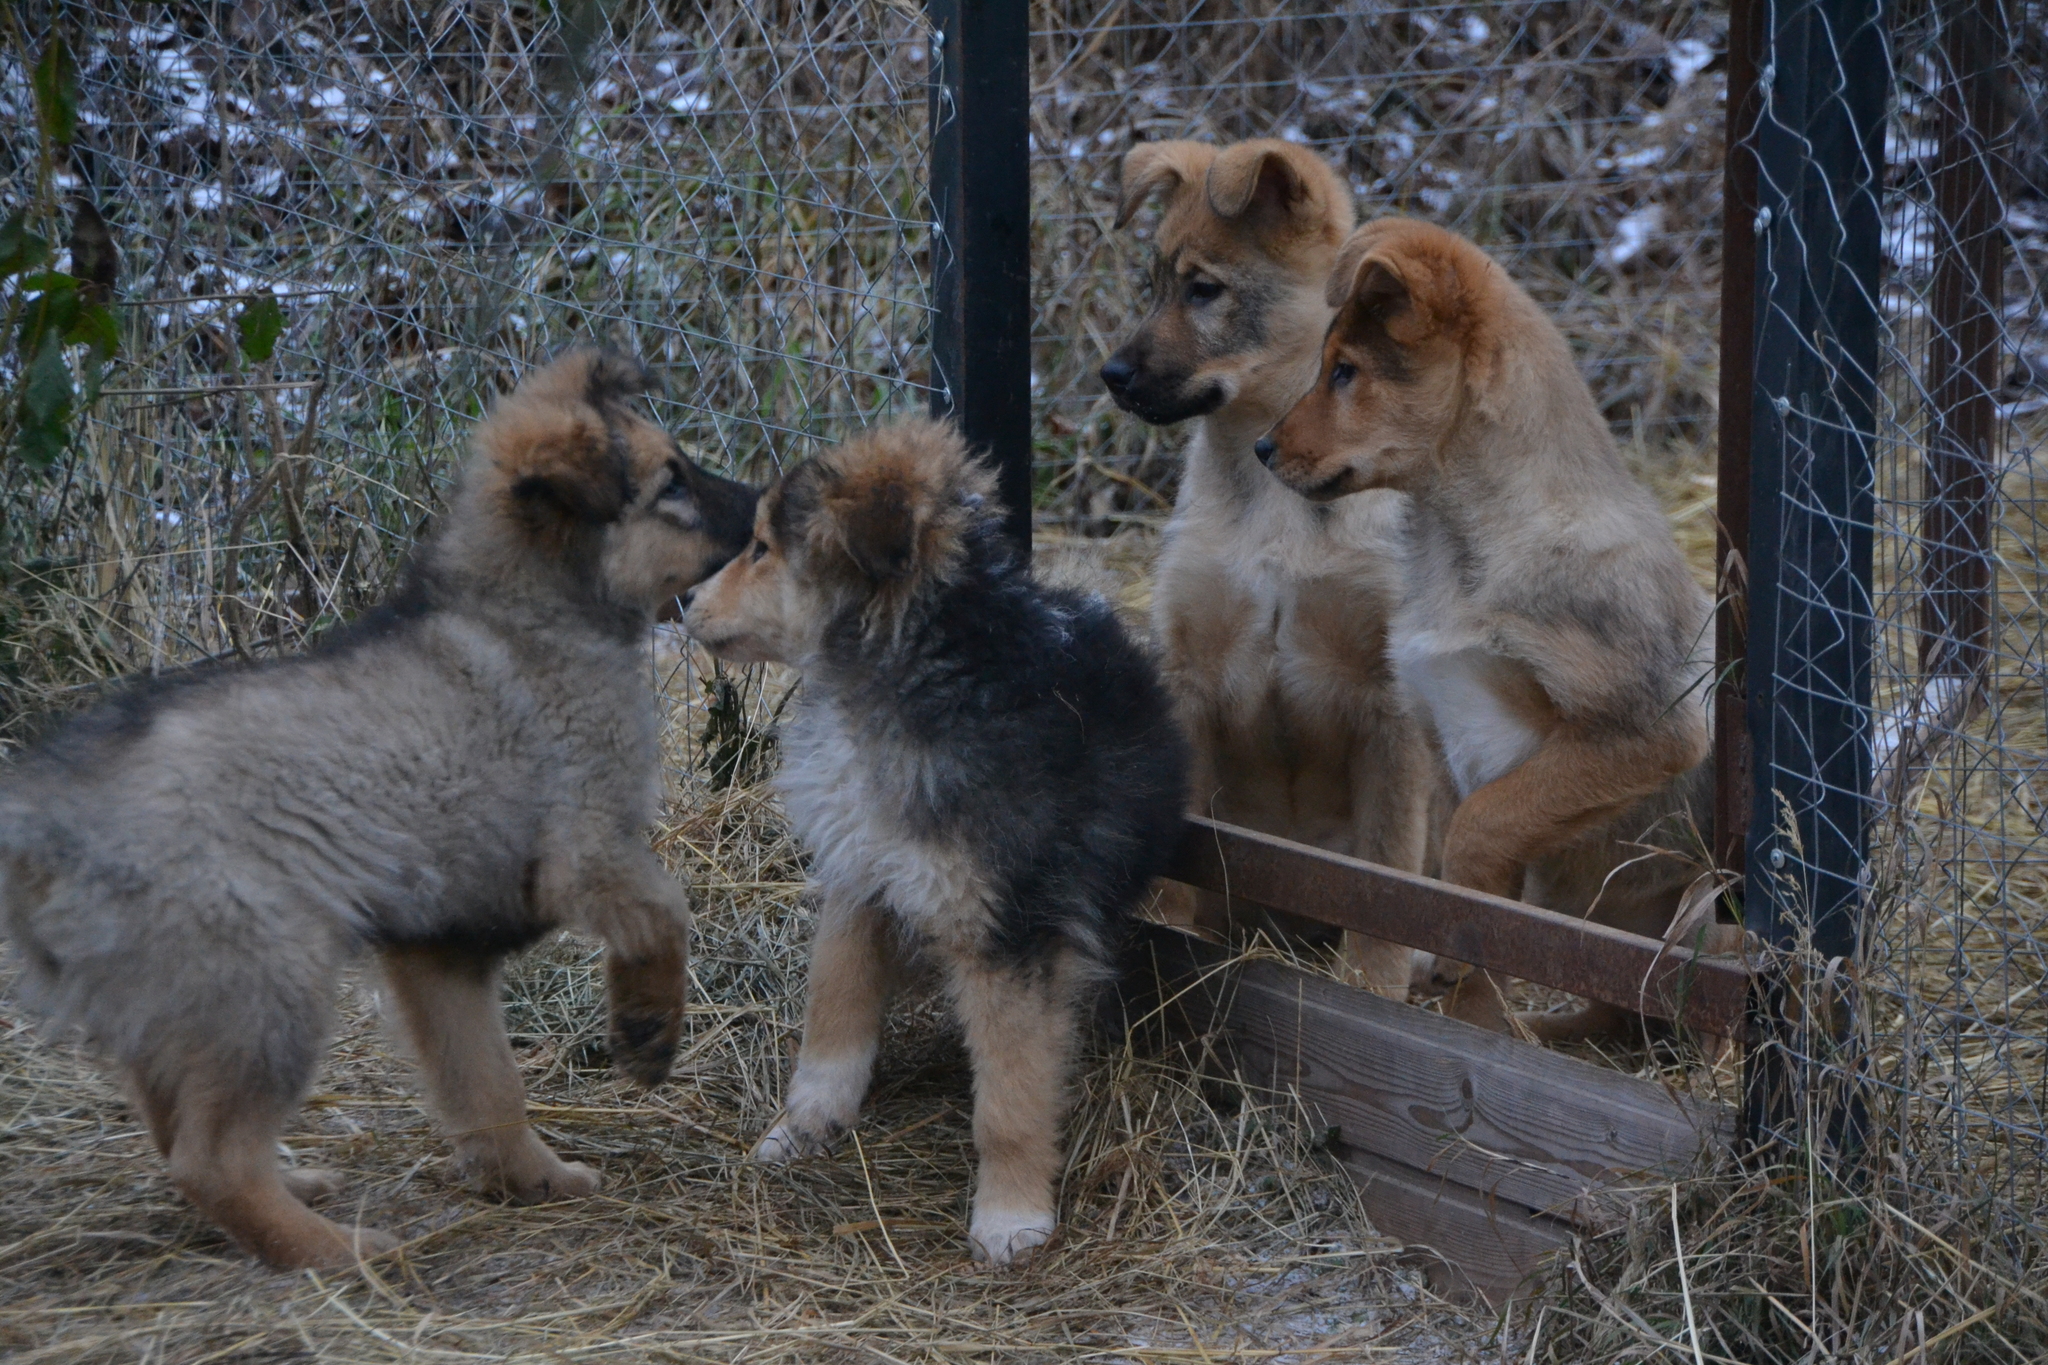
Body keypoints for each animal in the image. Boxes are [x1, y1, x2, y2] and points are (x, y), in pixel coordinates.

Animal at [0, 349, 757, 1268]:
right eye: (671, 484)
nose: (772, 504)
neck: (529, 607)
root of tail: (43, 817)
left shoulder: (439, 948)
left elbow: (486, 1083)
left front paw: (529, 1179)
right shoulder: (589, 845)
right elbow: (664, 911)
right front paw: (648, 1030)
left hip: (181, 1002)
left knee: (172, 1123)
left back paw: (296, 1194)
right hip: (266, 984)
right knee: (210, 1158)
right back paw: (338, 1249)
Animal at [684, 421, 1187, 1268]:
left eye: (760, 546)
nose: (683, 600)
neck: (896, 688)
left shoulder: (1010, 929)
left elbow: (1010, 1098)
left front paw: (1012, 1215)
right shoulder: (860, 875)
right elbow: (833, 1017)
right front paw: (805, 1125)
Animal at [1105, 139, 1441, 994]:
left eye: (1203, 290)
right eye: (1151, 285)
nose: (1111, 377)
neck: (1275, 490)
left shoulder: (1390, 703)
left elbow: (1387, 877)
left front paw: (1375, 985)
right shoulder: (1189, 670)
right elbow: (1177, 856)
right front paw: (1163, 934)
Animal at [1253, 222, 1736, 1035]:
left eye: (1346, 372)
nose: (1261, 448)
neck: (1467, 542)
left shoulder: (1647, 731)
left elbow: (1479, 844)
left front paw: (1466, 996)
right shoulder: (1442, 732)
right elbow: (1461, 893)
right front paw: (1454, 986)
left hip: (1706, 909)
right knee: (1612, 1017)